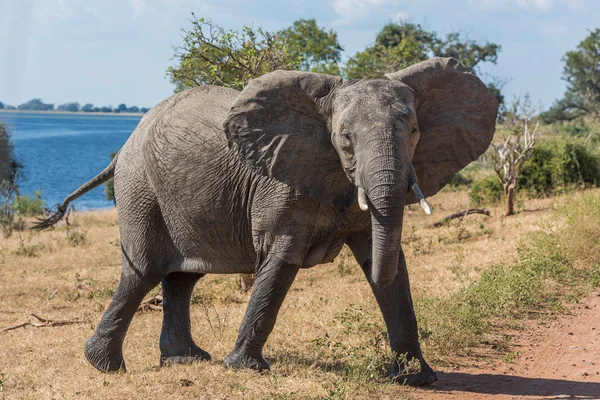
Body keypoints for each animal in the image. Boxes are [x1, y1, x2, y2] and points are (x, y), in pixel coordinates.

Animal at [35, 56, 500, 384]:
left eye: (416, 132)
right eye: (345, 139)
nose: (397, 371)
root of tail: (123, 147)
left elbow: (386, 260)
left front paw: (417, 378)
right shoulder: (279, 186)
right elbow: (280, 261)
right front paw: (245, 369)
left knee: (182, 277)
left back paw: (185, 359)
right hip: (140, 189)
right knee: (144, 271)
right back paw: (106, 367)